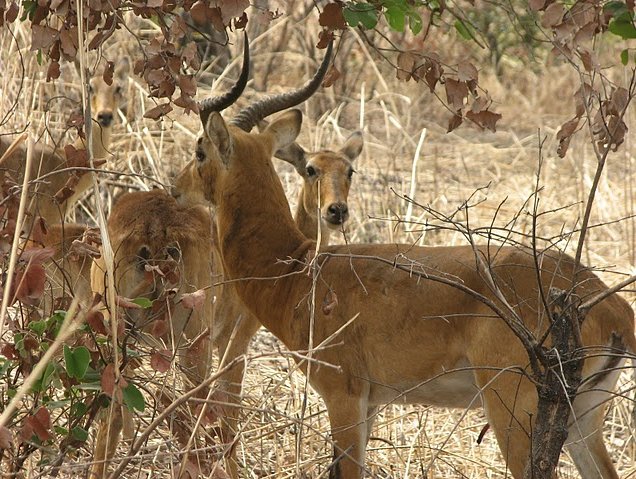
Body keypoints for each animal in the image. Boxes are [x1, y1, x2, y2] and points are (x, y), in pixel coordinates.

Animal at [173, 69, 636, 478]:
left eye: (199, 151)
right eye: (311, 170)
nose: (176, 189)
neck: (298, 272)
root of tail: (611, 305)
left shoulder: (343, 395)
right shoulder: (373, 403)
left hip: (513, 412)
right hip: (582, 420)